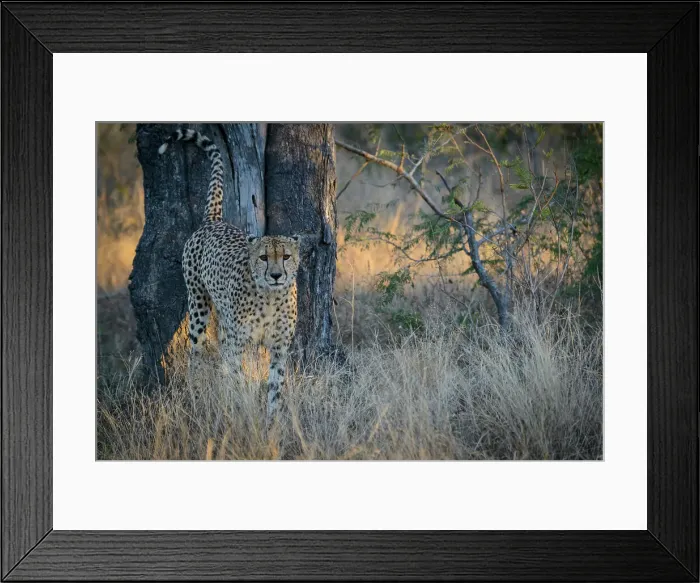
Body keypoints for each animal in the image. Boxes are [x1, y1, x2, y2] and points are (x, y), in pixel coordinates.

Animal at [159, 128, 300, 422]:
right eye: (263, 257)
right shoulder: (239, 343)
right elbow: (237, 379)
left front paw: (271, 424)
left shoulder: (279, 348)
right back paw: (195, 396)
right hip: (198, 305)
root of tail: (214, 220)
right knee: (196, 353)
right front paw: (241, 414)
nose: (276, 275)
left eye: (286, 256)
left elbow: (275, 389)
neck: (270, 297)